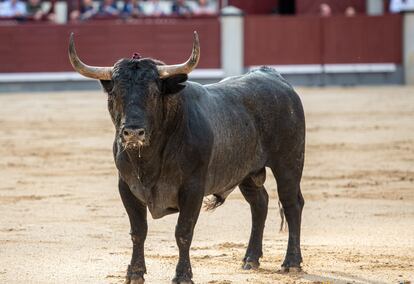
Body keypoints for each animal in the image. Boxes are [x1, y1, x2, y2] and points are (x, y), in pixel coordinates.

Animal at [69, 37, 306, 284]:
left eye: (154, 93)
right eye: (115, 93)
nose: (133, 132)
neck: (149, 158)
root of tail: (273, 76)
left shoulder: (193, 189)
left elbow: (183, 232)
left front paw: (182, 275)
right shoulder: (126, 186)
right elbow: (138, 232)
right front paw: (134, 273)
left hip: (289, 163)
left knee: (292, 204)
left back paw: (291, 262)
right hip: (247, 173)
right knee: (259, 203)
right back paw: (250, 259)